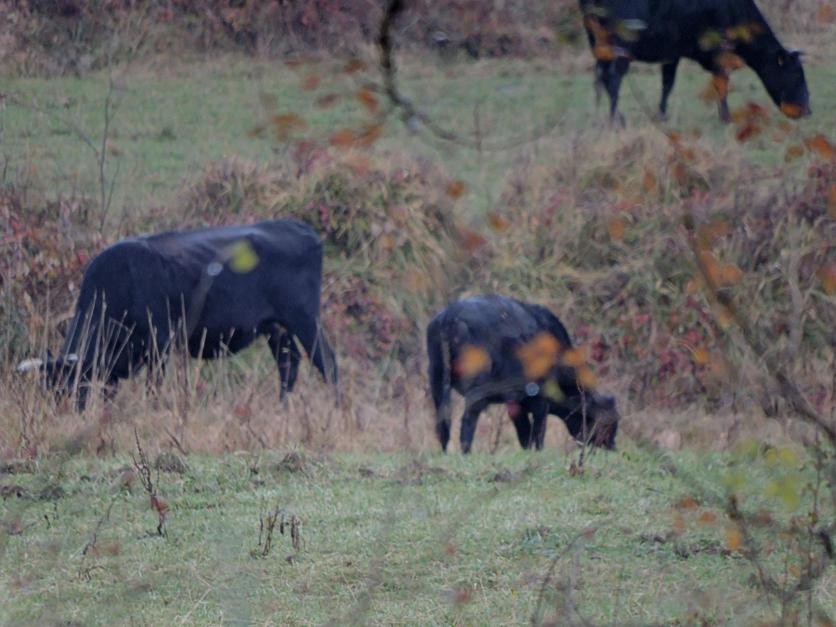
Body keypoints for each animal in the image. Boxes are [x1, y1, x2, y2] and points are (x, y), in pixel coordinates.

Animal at [17, 219, 338, 408]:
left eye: (72, 387)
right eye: (50, 391)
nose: (64, 416)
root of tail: (296, 226)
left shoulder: (160, 342)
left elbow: (153, 387)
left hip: (304, 318)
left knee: (327, 361)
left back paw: (337, 409)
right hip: (275, 327)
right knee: (289, 363)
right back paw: (282, 408)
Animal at [426, 295, 619, 454]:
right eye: (608, 423)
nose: (612, 446)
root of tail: (449, 317)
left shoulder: (517, 403)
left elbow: (524, 433)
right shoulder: (539, 401)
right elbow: (537, 432)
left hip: (437, 381)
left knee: (442, 422)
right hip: (476, 390)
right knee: (467, 419)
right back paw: (466, 451)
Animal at [579, 0, 811, 123]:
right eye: (797, 76)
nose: (808, 111)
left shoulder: (672, 53)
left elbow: (667, 85)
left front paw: (662, 115)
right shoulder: (720, 49)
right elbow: (721, 84)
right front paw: (726, 118)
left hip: (597, 42)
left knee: (599, 76)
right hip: (621, 42)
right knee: (613, 77)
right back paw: (616, 120)